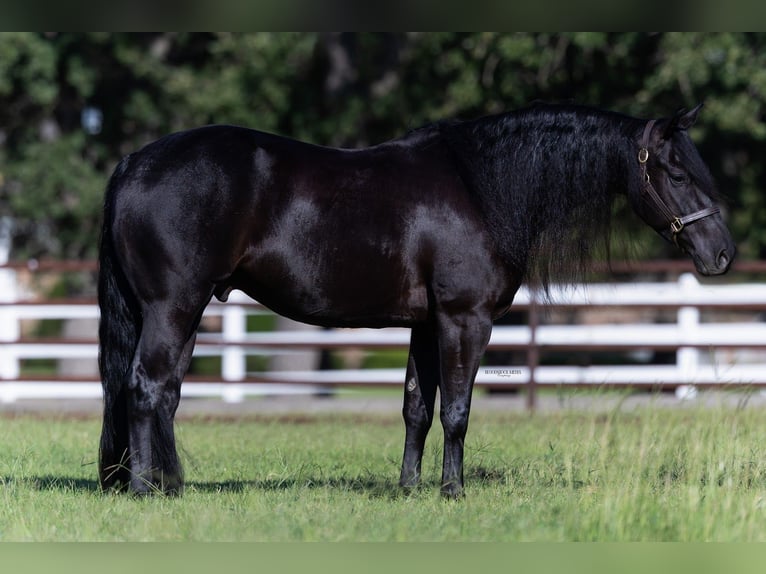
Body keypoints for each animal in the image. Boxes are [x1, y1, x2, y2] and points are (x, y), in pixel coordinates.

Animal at [97, 102, 735, 497]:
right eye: (677, 172)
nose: (722, 255)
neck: (483, 186)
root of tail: (134, 162)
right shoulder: (464, 320)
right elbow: (457, 409)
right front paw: (453, 490)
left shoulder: (426, 325)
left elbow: (416, 408)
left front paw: (409, 489)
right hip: (173, 307)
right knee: (146, 387)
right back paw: (145, 489)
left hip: (184, 311)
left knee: (166, 392)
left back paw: (169, 483)